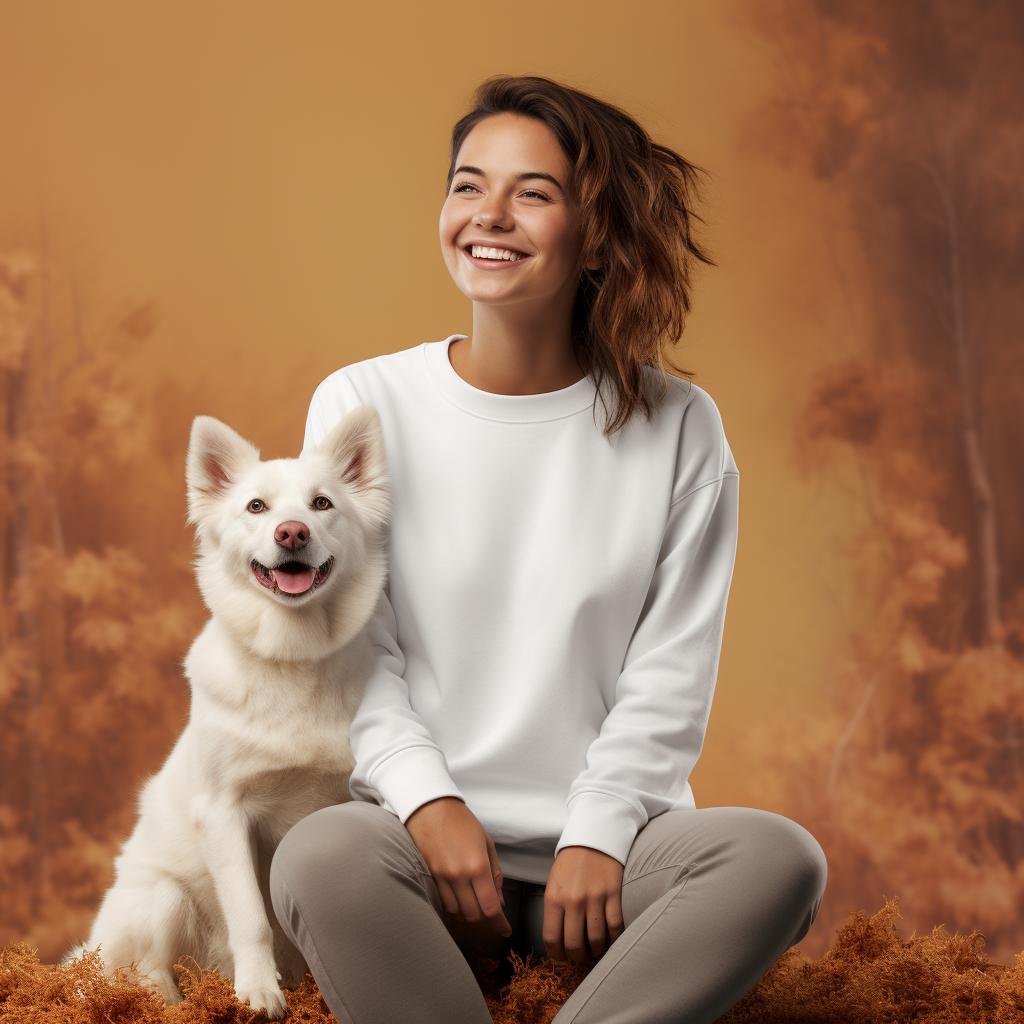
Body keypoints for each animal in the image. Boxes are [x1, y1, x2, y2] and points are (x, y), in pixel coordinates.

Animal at [68, 405, 387, 1015]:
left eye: (321, 504)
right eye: (256, 507)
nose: (292, 532)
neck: (292, 657)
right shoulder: (224, 813)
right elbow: (251, 918)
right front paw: (259, 993)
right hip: (162, 896)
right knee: (147, 972)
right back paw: (175, 1003)